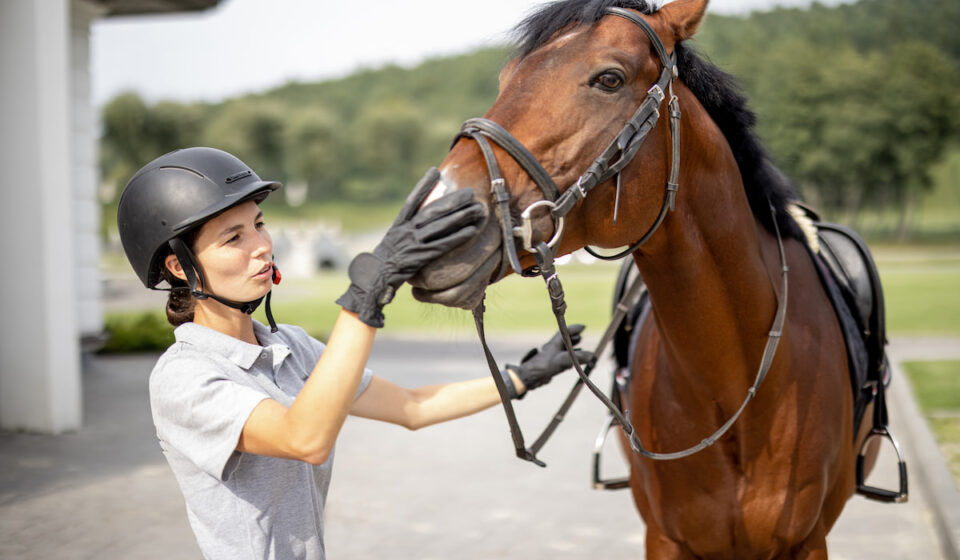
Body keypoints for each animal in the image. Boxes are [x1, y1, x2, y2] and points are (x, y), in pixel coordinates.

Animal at [407, 0, 890, 557]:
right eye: (507, 79)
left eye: (609, 78)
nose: (434, 217)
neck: (737, 390)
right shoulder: (665, 538)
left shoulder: (807, 542)